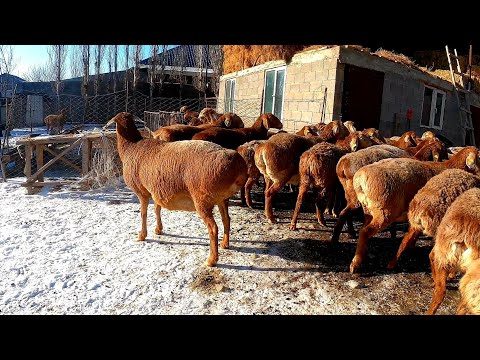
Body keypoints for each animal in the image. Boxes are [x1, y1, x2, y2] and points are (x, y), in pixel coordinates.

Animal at [104, 112, 248, 268]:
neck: (131, 146)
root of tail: (238, 165)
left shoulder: (142, 192)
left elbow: (143, 214)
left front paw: (142, 235)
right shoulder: (156, 190)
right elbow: (157, 209)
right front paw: (158, 229)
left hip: (202, 200)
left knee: (213, 228)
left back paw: (211, 260)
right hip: (222, 198)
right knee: (226, 219)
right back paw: (225, 244)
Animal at [348, 146, 480, 272]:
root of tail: (360, 178)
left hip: (368, 210)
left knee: (363, 229)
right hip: (384, 212)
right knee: (365, 232)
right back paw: (356, 263)